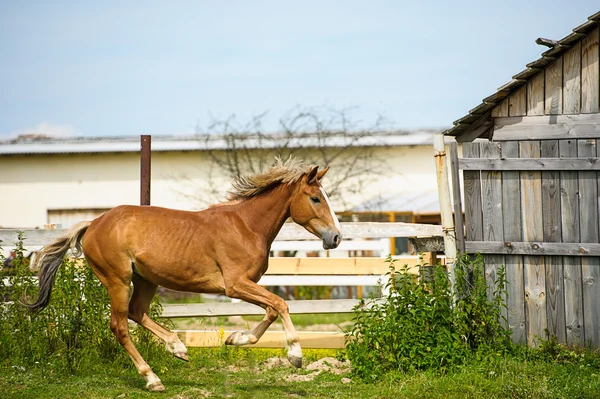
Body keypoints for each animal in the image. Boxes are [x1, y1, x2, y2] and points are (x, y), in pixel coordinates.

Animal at [24, 158, 342, 392]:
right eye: (315, 198)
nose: (336, 237)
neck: (246, 226)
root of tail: (93, 223)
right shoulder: (235, 285)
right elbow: (280, 304)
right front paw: (295, 356)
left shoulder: (246, 285)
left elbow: (272, 310)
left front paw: (234, 339)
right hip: (117, 279)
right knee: (119, 325)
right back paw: (153, 379)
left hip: (146, 280)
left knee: (137, 313)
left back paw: (178, 348)